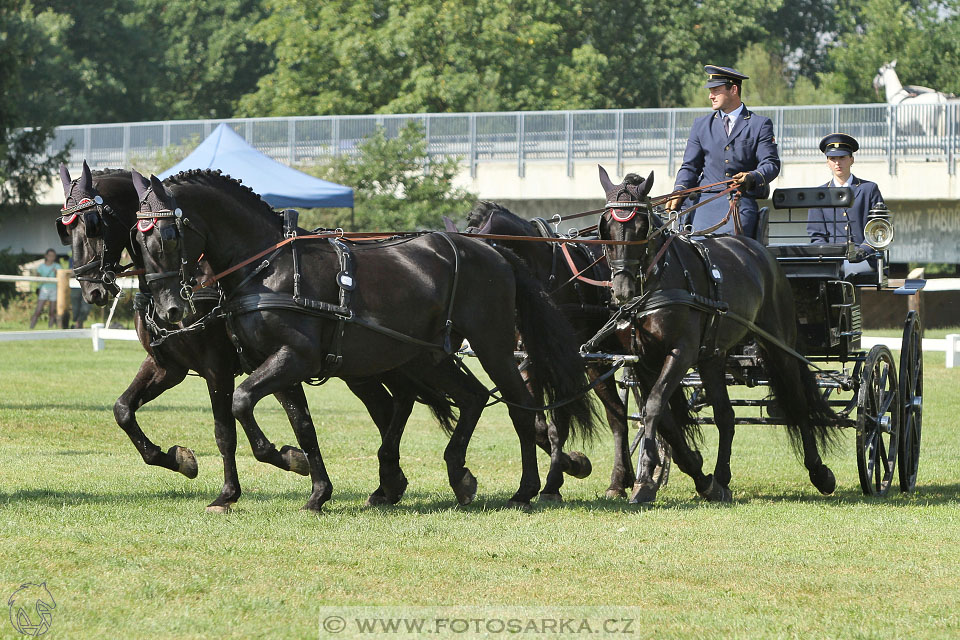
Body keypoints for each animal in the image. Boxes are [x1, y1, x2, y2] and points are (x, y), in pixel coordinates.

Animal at [58, 162, 456, 512]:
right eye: (65, 229)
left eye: (93, 225)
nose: (92, 289)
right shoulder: (168, 366)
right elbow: (123, 410)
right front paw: (177, 459)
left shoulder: (217, 367)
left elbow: (225, 430)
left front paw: (238, 488)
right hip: (360, 367)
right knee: (388, 407)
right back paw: (389, 485)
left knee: (400, 403)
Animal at [127, 169, 592, 510]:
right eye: (137, 240)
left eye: (167, 237)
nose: (169, 310)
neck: (269, 266)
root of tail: (494, 251)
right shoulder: (277, 364)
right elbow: (302, 424)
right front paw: (316, 490)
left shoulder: (289, 358)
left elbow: (240, 405)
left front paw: (286, 460)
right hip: (426, 357)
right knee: (472, 397)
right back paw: (457, 474)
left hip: (491, 344)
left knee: (519, 407)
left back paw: (527, 488)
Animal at [464, 202, 636, 498]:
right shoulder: (526, 359)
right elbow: (536, 424)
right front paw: (573, 463)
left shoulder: (562, 363)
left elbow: (559, 425)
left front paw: (555, 481)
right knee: (618, 412)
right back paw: (625, 477)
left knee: (620, 416)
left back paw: (619, 480)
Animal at [596, 166, 836, 504]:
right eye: (605, 226)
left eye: (642, 227)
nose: (622, 290)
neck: (658, 281)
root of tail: (760, 251)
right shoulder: (642, 360)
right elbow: (661, 416)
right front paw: (678, 473)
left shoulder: (681, 352)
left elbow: (655, 405)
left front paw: (644, 478)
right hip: (712, 356)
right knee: (725, 415)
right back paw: (720, 480)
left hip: (779, 346)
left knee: (798, 403)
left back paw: (819, 472)